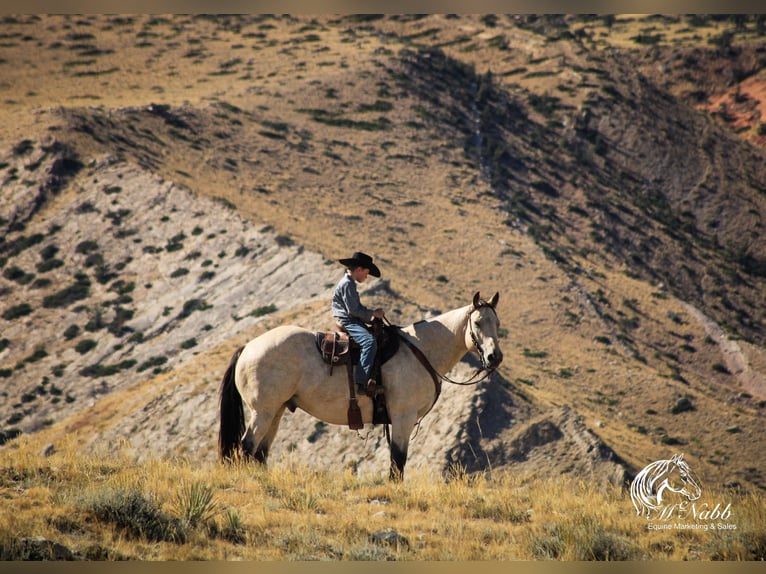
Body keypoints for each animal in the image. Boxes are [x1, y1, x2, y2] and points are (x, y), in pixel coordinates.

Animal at [219, 292, 504, 482]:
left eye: (497, 324)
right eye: (478, 323)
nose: (494, 357)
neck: (420, 350)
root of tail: (247, 347)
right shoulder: (402, 417)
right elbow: (398, 461)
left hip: (276, 411)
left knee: (259, 453)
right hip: (262, 412)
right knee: (246, 446)